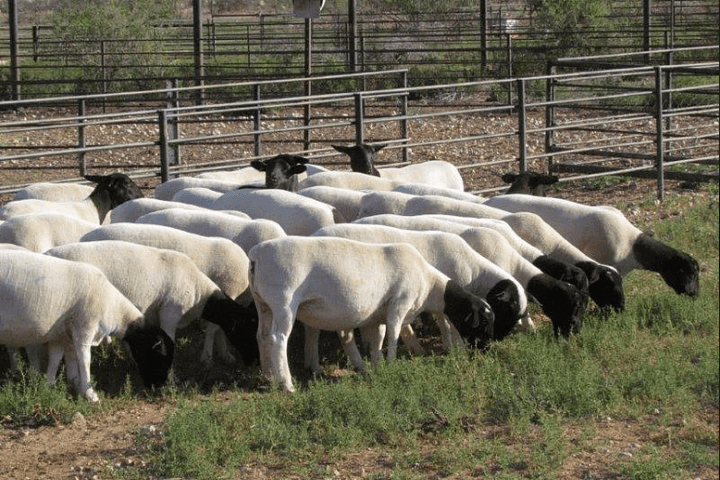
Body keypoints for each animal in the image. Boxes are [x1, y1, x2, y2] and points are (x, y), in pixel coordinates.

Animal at [0, 250, 174, 402]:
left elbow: (58, 358)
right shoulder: (84, 328)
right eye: (159, 356)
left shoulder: (63, 334)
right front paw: (89, 394)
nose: (159, 387)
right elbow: (85, 360)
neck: (112, 307)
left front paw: (58, 385)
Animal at [45, 241, 260, 369]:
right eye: (250, 330)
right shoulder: (169, 314)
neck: (198, 289)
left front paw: (224, 355)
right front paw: (204, 360)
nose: (256, 362)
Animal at [247, 236, 496, 392]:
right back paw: (287, 385)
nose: (484, 352)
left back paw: (270, 378)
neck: (429, 285)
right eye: (483, 321)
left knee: (262, 336)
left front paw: (377, 367)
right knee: (278, 339)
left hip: (263, 304)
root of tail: (256, 255)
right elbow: (393, 335)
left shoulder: (377, 315)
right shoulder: (399, 304)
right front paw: (391, 364)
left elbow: (378, 340)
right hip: (284, 301)